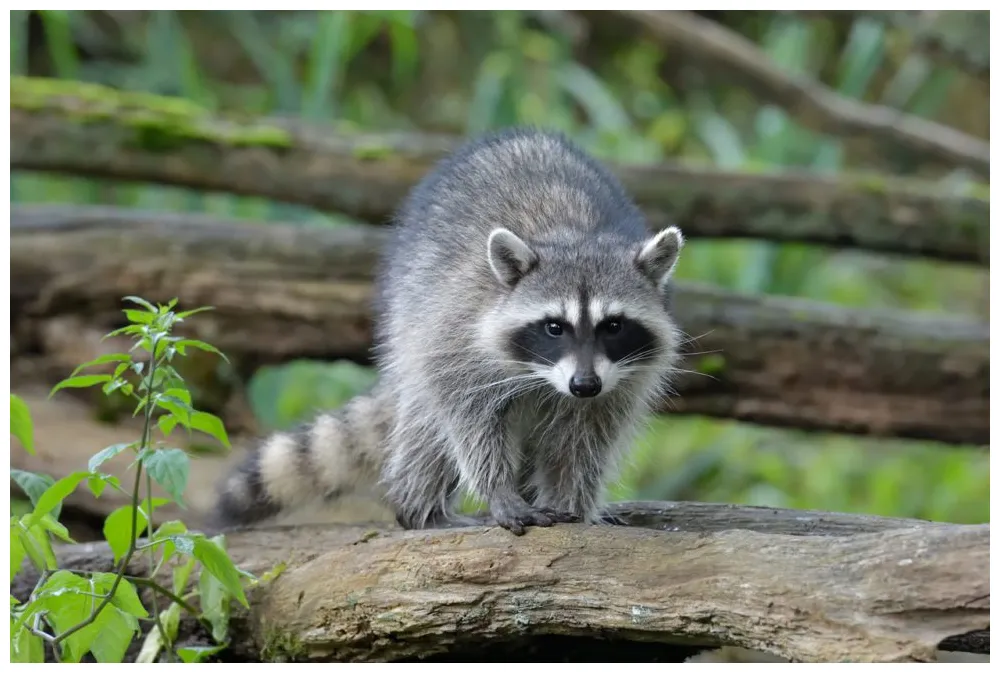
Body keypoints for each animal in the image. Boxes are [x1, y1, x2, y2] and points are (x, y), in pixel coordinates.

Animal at [214, 127, 685, 535]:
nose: (584, 385)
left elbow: (585, 441)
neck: (576, 237)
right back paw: (420, 507)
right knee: (426, 427)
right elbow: (466, 416)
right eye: (555, 327)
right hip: (409, 311)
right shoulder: (458, 332)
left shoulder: (621, 379)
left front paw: (573, 502)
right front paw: (498, 490)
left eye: (613, 326)